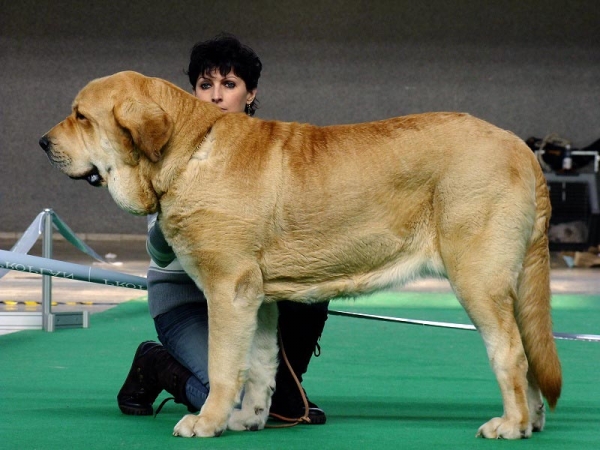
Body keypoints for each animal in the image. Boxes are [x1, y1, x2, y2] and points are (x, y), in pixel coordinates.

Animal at [39, 71, 560, 440]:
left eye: (81, 116)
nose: (43, 142)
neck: (188, 151)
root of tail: (521, 147)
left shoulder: (229, 290)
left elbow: (223, 365)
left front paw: (207, 422)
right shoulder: (258, 300)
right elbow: (260, 364)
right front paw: (248, 419)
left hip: (478, 278)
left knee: (510, 351)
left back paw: (510, 425)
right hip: (511, 287)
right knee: (531, 352)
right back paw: (532, 421)